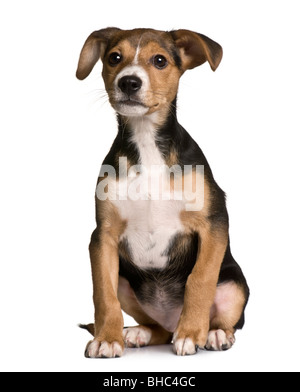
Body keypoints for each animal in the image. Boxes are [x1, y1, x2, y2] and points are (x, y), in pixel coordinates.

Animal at [76, 27, 250, 358]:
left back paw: (213, 334)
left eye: (160, 60)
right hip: (126, 281)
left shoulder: (214, 223)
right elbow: (102, 294)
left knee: (227, 321)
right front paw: (107, 338)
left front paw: (192, 333)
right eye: (114, 58)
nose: (129, 82)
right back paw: (138, 333)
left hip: (235, 285)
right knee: (156, 328)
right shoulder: (102, 237)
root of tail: (170, 321)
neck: (146, 142)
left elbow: (200, 279)